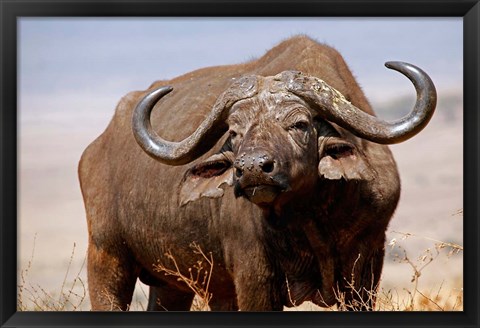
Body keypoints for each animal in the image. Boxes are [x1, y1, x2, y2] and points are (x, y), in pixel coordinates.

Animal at [79, 36, 436, 310]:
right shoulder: (254, 278)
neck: (310, 219)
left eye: (299, 124)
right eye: (235, 132)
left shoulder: (366, 268)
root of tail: (95, 149)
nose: (251, 169)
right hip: (106, 259)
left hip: (173, 284)